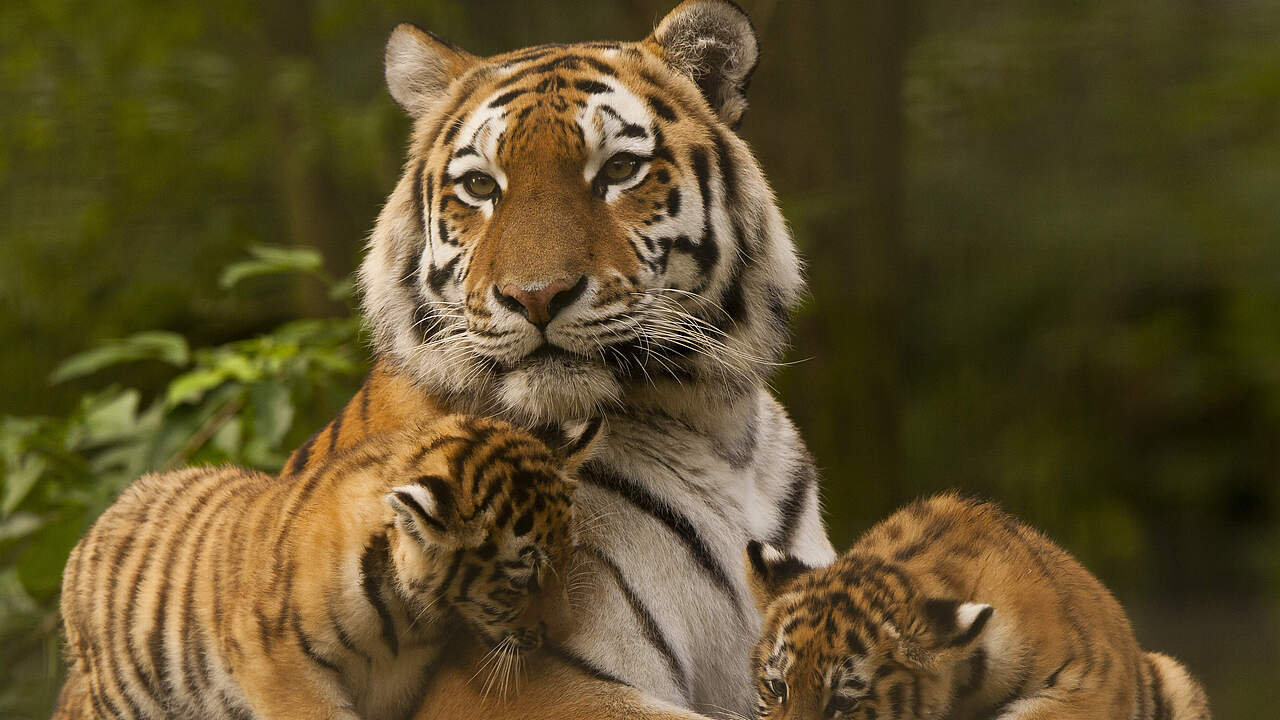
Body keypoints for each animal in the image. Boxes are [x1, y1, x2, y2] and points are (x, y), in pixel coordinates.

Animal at [54, 414, 600, 720]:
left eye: (569, 555)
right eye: (521, 577)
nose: (563, 635)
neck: (405, 621)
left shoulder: (394, 686)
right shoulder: (279, 668)